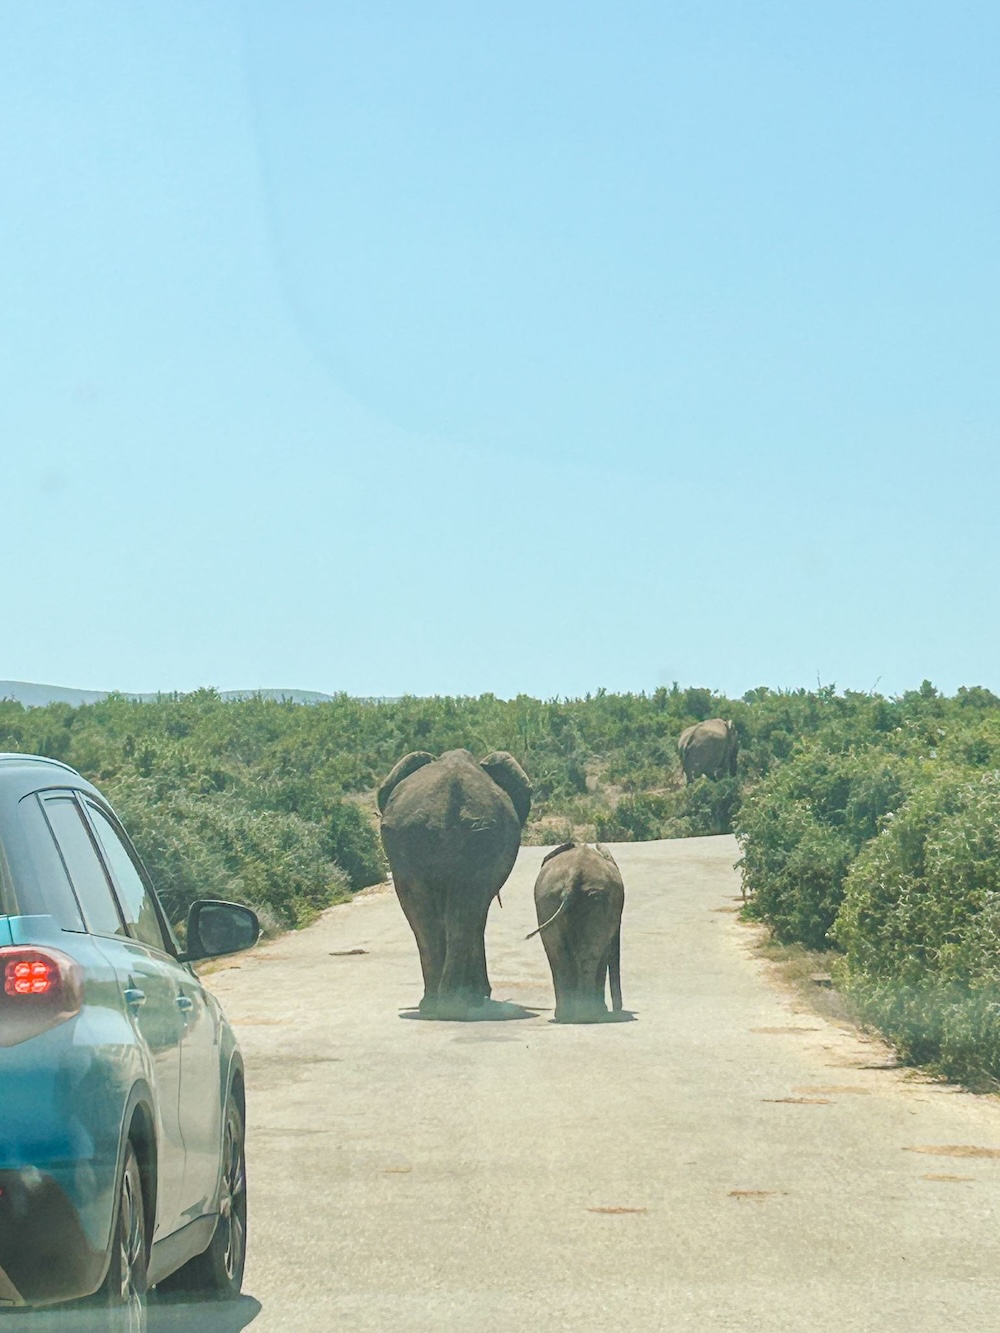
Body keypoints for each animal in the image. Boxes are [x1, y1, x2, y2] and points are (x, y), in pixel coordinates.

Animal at [376, 751, 533, 1018]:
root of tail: (444, 806)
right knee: (457, 914)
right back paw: (452, 1003)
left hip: (439, 840)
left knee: (437, 917)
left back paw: (442, 1004)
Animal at [528, 842, 624, 1018]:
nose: (618, 1008)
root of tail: (575, 875)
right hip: (595, 899)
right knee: (589, 954)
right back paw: (589, 1014)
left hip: (550, 899)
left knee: (558, 953)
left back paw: (570, 1015)